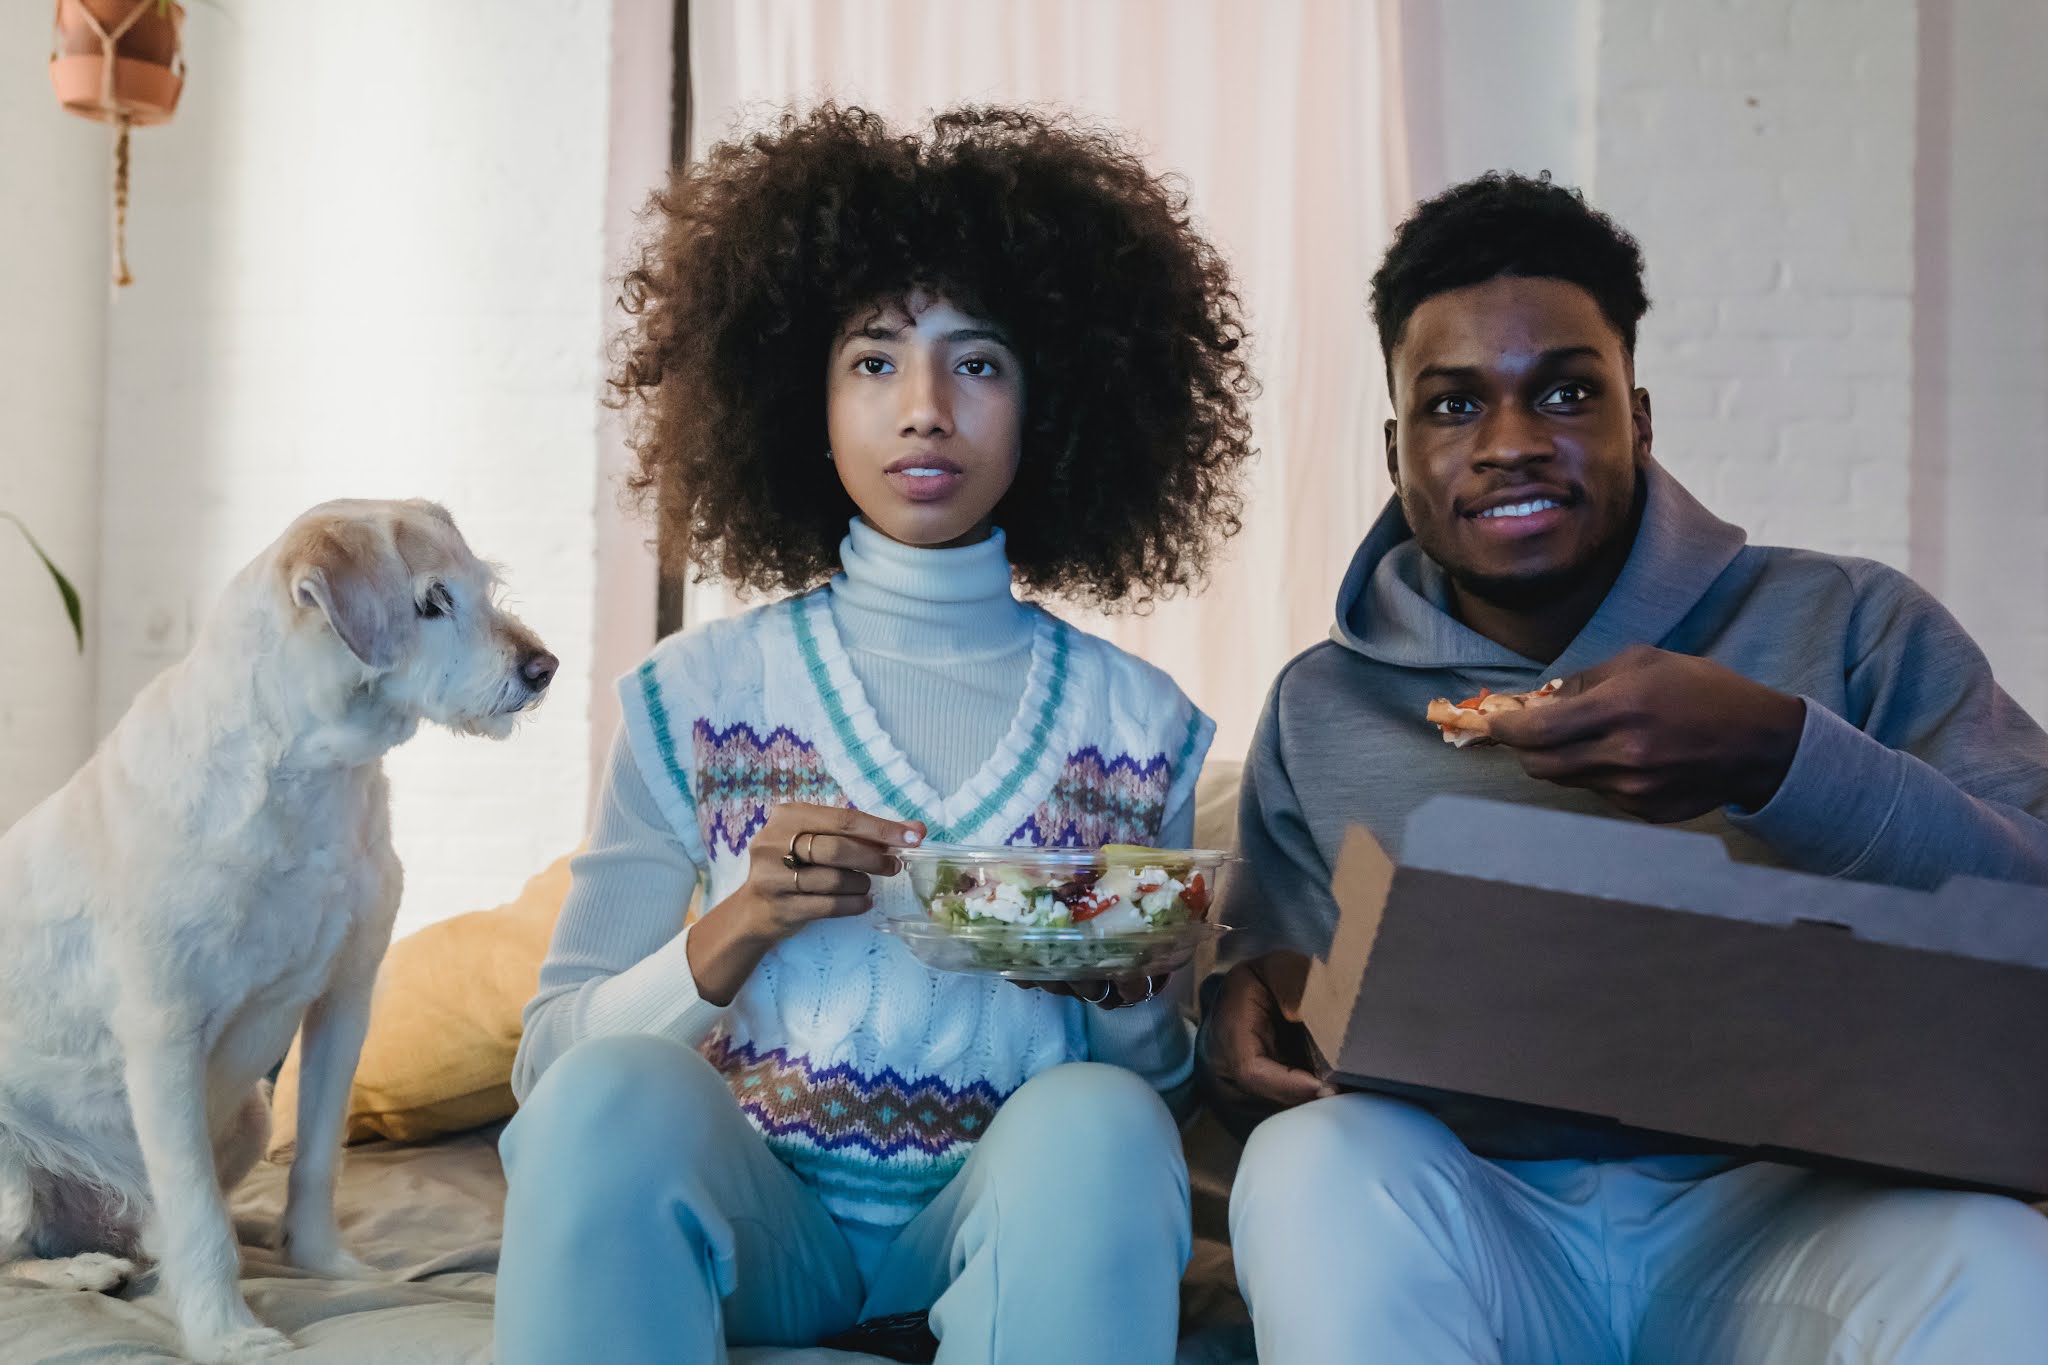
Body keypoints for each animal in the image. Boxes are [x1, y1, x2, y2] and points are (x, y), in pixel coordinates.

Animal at [0, 501, 552, 1365]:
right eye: (432, 601)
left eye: (482, 585)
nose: (543, 666)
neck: (308, 775)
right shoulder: (164, 1037)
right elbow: (195, 1208)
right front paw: (226, 1332)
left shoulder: (344, 1003)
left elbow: (318, 1160)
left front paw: (325, 1262)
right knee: (18, 1260)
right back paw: (85, 1267)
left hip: (252, 1117)